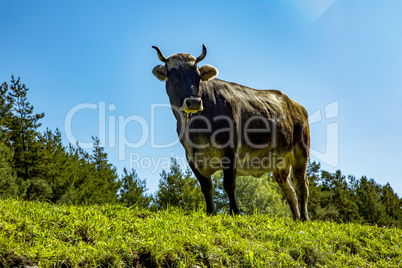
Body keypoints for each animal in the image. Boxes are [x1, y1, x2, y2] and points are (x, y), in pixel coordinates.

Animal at [152, 44, 310, 220]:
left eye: (198, 77)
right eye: (173, 78)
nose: (193, 102)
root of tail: (295, 104)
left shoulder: (230, 151)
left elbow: (229, 185)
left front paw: (235, 212)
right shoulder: (191, 157)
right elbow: (206, 187)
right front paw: (210, 212)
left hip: (301, 151)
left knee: (301, 185)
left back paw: (304, 218)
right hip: (279, 162)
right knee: (289, 191)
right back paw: (295, 219)